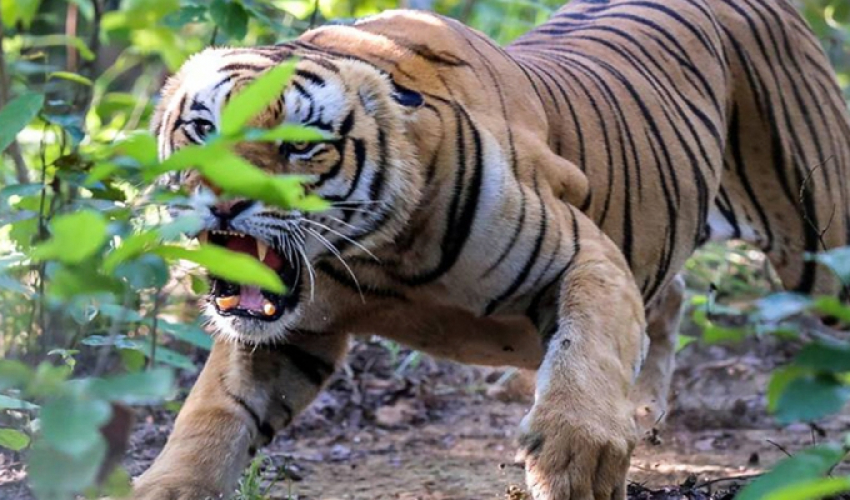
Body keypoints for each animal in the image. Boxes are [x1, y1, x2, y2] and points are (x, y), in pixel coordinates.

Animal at [132, 0, 848, 498]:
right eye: (202, 128)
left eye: (299, 145)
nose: (223, 204)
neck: (372, 257)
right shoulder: (286, 335)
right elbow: (214, 413)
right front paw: (164, 485)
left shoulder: (583, 255)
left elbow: (586, 346)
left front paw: (577, 456)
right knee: (667, 297)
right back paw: (640, 410)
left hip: (820, 248)